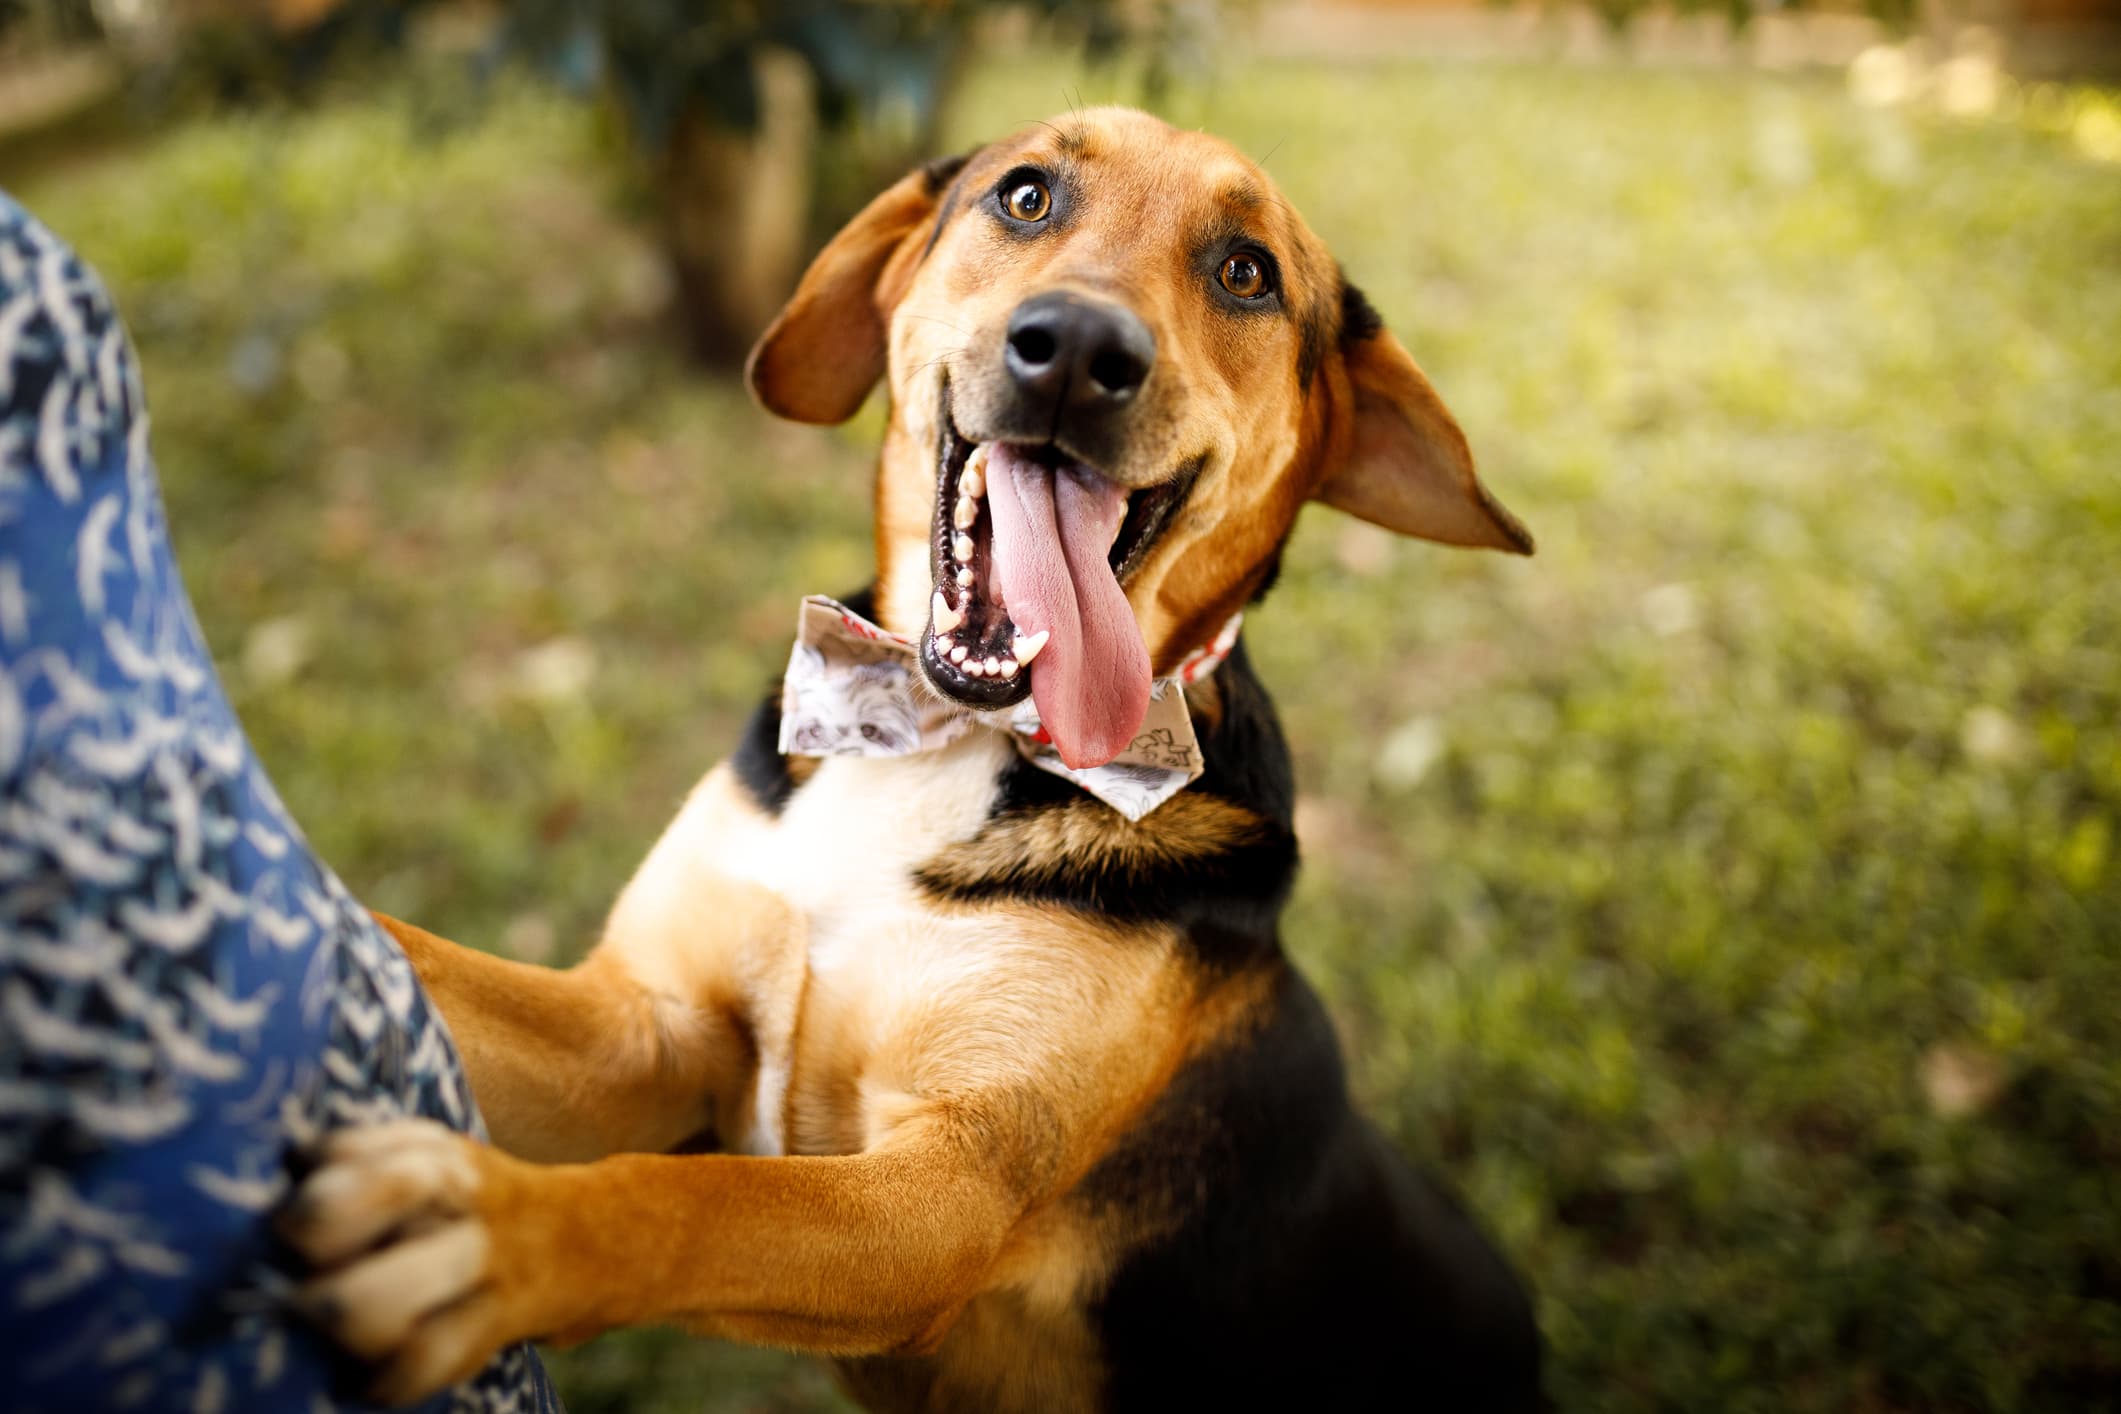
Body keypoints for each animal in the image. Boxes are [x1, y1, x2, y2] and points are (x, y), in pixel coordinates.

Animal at [277, 110, 1544, 1414]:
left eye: (1247, 272)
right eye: (1026, 196)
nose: (1077, 347)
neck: (942, 733)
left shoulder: (937, 1198)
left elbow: (693, 1199)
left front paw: (497, 1230)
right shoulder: (647, 1026)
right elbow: (424, 959)